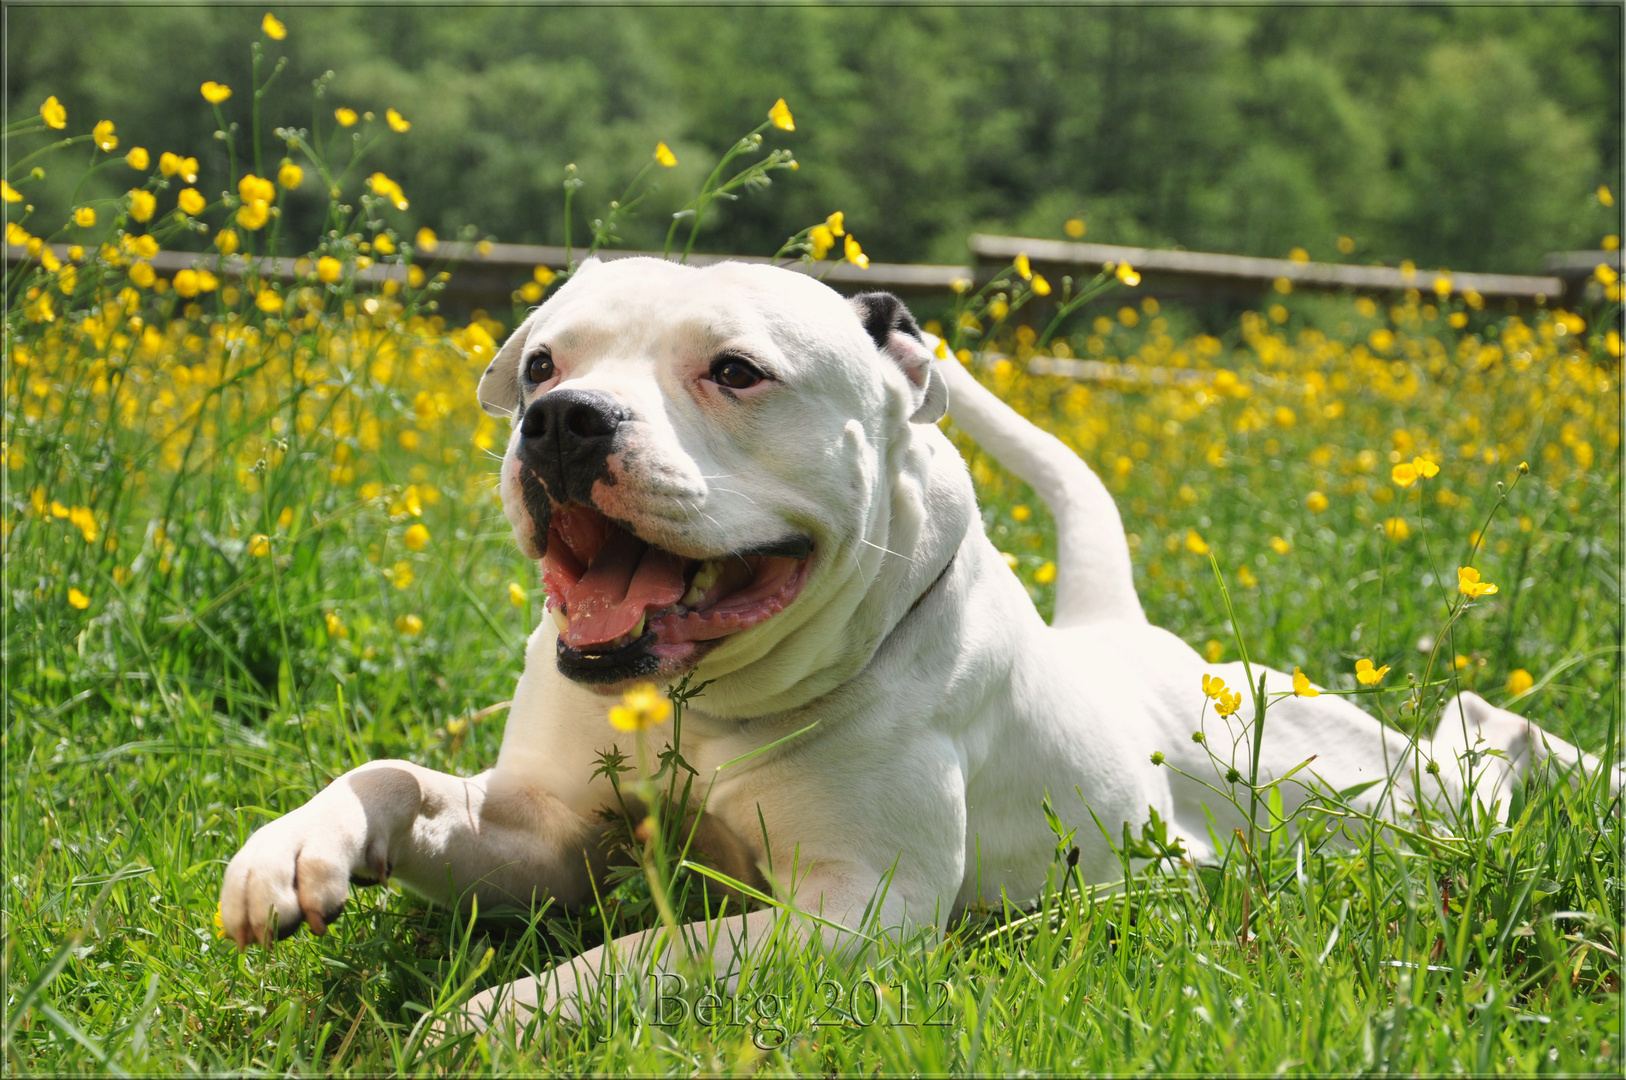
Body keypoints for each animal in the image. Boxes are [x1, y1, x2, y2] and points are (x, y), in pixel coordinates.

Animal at [219, 255, 1626, 1027]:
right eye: (544, 362)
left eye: (735, 372)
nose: (561, 422)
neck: (703, 702)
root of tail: (1122, 628)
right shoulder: (547, 835)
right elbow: (394, 781)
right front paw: (294, 852)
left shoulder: (855, 914)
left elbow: (644, 955)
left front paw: (497, 1017)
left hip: (1361, 797)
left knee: (1478, 732)